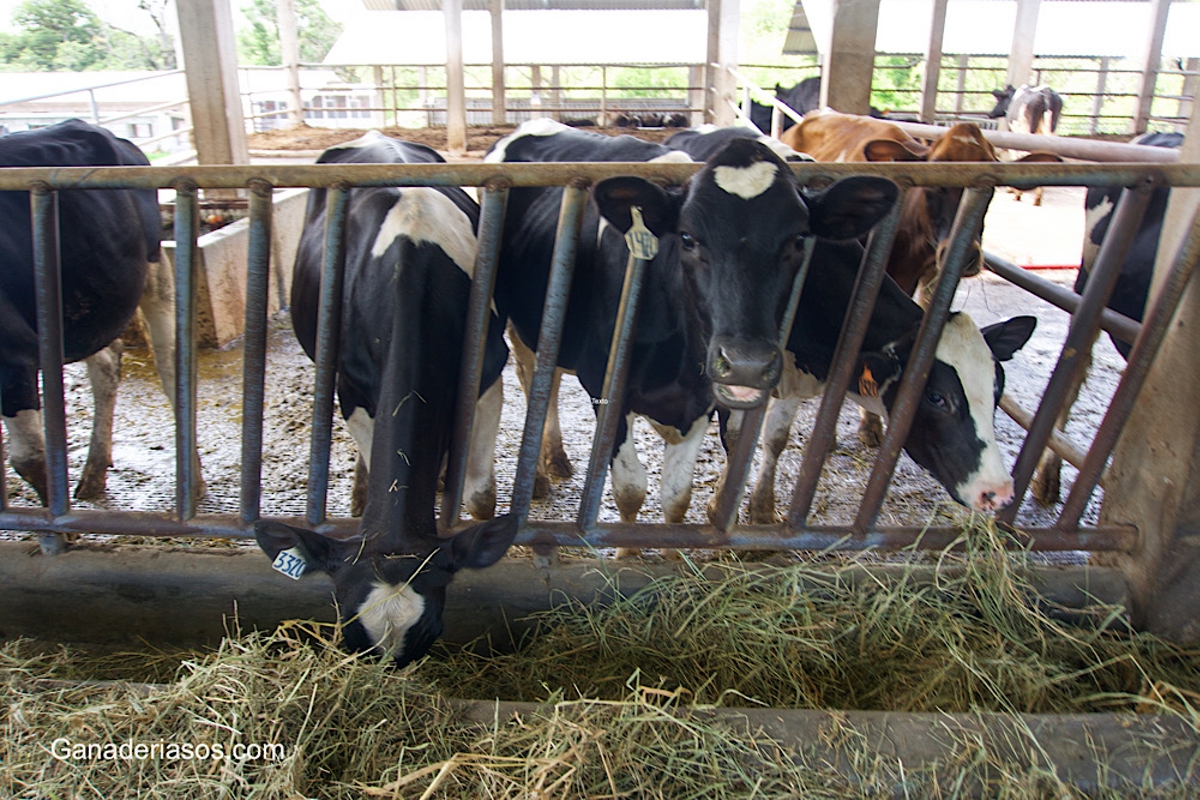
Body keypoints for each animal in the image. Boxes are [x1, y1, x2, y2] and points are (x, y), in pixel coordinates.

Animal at [0, 117, 177, 506]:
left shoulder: (14, 358)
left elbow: (29, 459)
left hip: (154, 269)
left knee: (170, 367)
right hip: (88, 306)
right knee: (107, 363)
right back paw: (94, 472)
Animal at [253, 133, 516, 671]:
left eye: (431, 630)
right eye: (347, 632)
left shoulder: (487, 378)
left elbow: (479, 495)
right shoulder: (351, 389)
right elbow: (378, 462)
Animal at [482, 115, 897, 542]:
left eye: (799, 239)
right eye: (687, 237)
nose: (746, 363)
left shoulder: (706, 398)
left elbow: (685, 488)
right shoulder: (604, 384)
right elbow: (631, 488)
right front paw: (628, 548)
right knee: (533, 380)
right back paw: (540, 475)